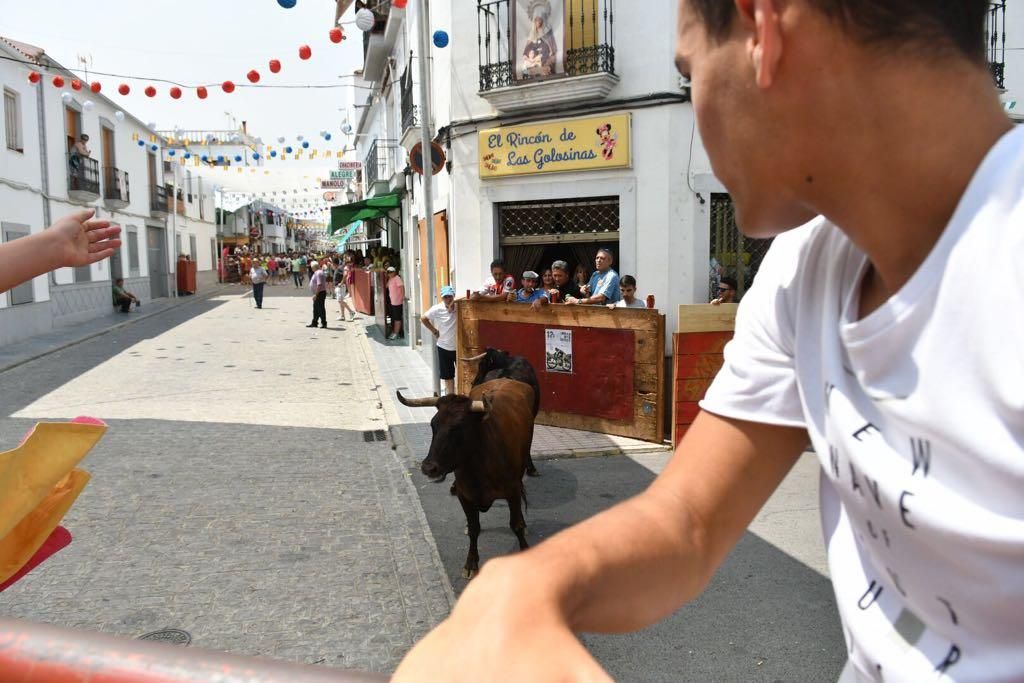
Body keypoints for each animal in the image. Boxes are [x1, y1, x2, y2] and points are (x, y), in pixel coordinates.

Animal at [395, 378, 536, 577]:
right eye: (433, 425)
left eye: (458, 427)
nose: (428, 467)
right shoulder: (465, 495)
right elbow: (474, 529)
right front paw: (470, 563)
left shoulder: (513, 491)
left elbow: (516, 525)